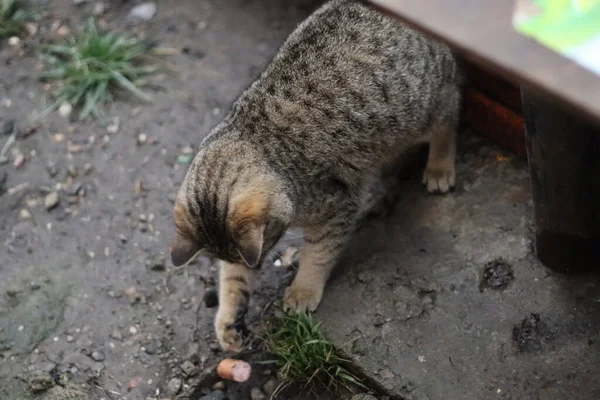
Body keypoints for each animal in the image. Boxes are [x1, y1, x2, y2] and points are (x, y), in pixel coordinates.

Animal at [171, 0, 462, 350]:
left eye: (268, 238)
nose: (256, 263)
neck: (255, 139)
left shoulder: (334, 208)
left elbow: (319, 254)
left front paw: (303, 289)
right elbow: (232, 279)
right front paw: (228, 319)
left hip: (425, 108)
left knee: (452, 111)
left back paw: (439, 167)